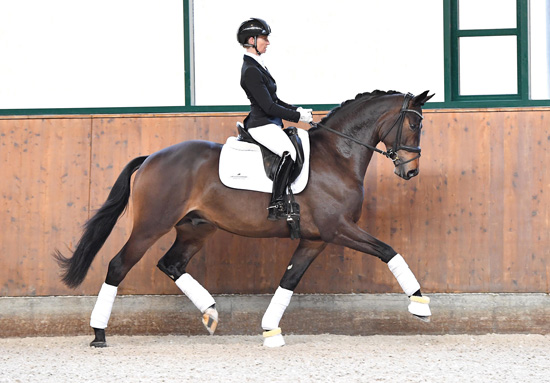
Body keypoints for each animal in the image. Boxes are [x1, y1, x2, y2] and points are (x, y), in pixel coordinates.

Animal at [55, 90, 436, 348]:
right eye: (414, 123)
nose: (411, 171)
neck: (336, 157)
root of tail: (151, 158)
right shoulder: (338, 229)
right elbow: (389, 251)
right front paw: (419, 305)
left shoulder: (314, 239)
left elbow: (289, 281)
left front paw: (270, 330)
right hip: (151, 226)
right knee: (119, 265)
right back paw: (99, 333)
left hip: (196, 229)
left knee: (171, 264)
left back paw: (210, 313)